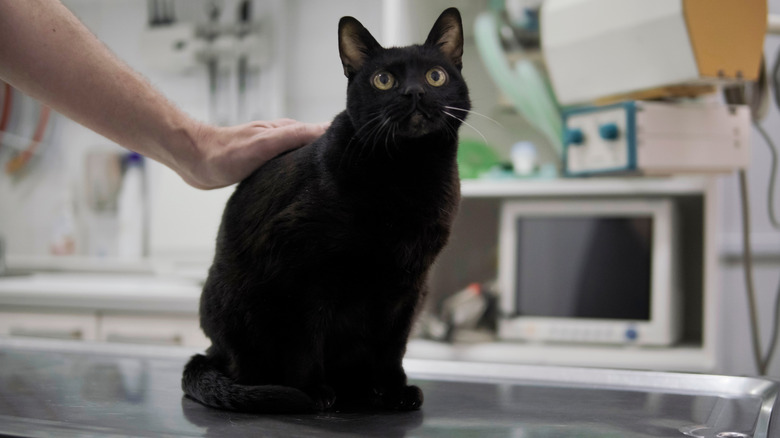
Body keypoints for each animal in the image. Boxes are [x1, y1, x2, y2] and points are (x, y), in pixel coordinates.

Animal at [183, 7, 470, 414]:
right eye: (384, 80)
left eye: (435, 75)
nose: (414, 91)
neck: (408, 171)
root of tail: (213, 351)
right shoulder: (302, 275)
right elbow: (305, 342)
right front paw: (312, 391)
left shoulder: (410, 284)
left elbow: (393, 345)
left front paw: (394, 390)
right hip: (236, 308)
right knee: (249, 366)